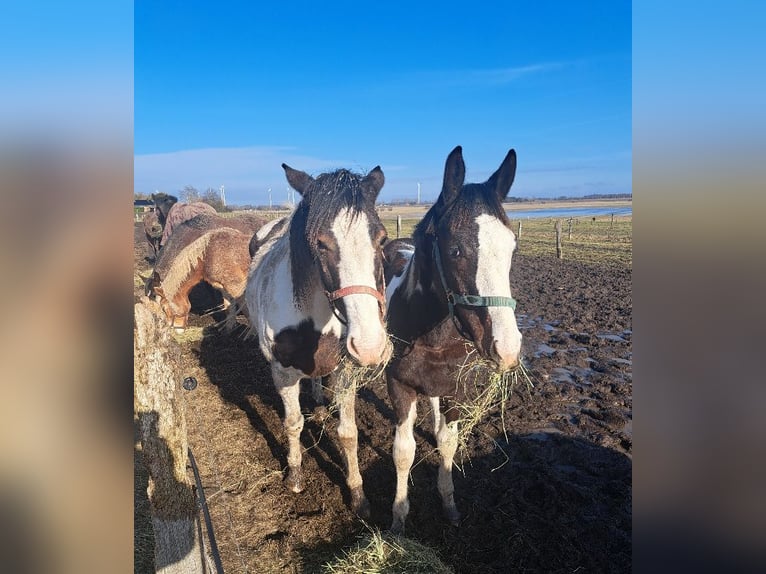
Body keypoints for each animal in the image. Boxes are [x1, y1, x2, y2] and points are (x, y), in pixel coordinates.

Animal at [245, 163, 392, 517]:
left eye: (381, 239)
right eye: (320, 243)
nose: (370, 346)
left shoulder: (345, 371)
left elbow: (348, 433)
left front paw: (357, 493)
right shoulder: (282, 373)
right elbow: (292, 423)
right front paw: (295, 475)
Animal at [383, 146, 523, 532]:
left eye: (512, 248)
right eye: (456, 250)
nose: (508, 349)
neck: (433, 337)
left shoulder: (455, 389)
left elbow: (448, 444)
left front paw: (449, 506)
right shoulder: (398, 385)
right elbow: (403, 452)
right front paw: (398, 518)